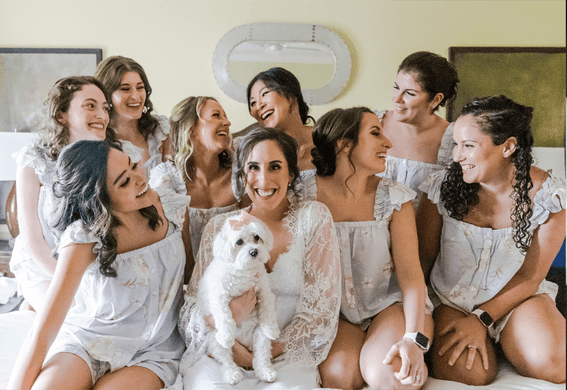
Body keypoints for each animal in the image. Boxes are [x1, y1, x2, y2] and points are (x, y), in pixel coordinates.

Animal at [197, 212, 282, 386]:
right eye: (239, 242)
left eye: (256, 237)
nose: (254, 252)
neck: (243, 270)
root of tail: (246, 344)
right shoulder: (219, 296)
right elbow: (224, 316)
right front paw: (226, 335)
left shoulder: (263, 289)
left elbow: (267, 308)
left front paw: (272, 329)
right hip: (214, 341)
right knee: (227, 360)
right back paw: (232, 374)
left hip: (259, 336)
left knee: (261, 356)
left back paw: (266, 372)